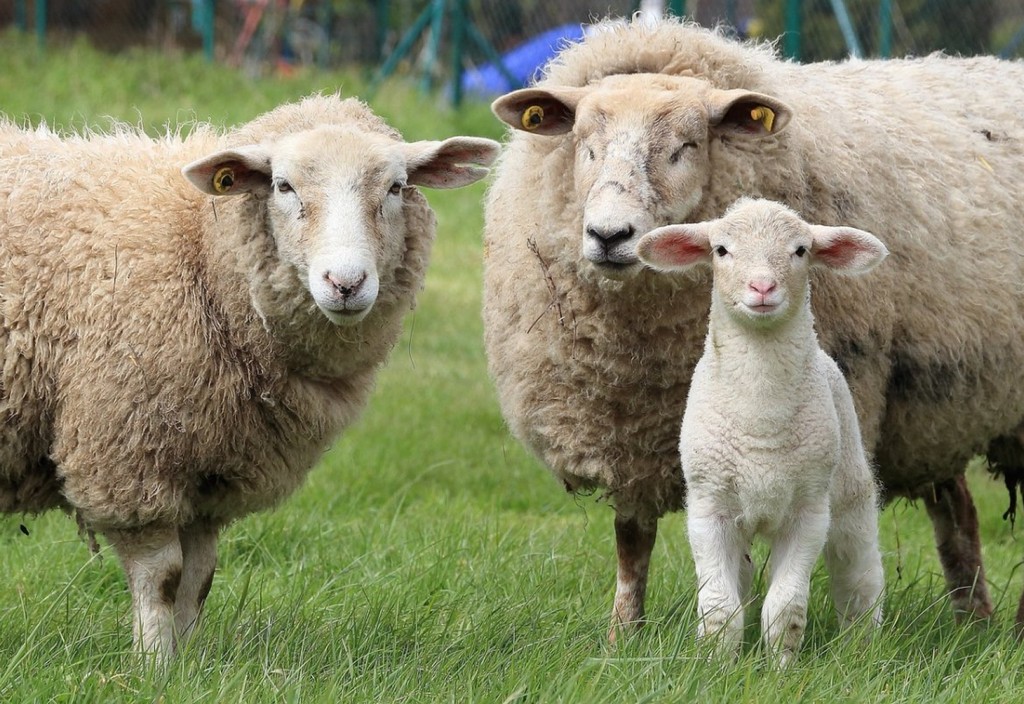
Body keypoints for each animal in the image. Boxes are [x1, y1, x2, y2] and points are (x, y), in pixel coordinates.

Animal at [0, 94, 500, 659]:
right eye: (283, 186)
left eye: (395, 187)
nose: (346, 283)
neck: (198, 246)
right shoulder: (127, 456)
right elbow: (161, 577)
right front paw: (154, 663)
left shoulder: (210, 475)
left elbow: (198, 579)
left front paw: (189, 663)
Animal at [636, 198, 886, 665]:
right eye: (720, 250)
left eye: (801, 250)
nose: (763, 287)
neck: (760, 420)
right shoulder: (709, 508)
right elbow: (720, 608)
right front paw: (718, 664)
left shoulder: (809, 512)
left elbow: (786, 608)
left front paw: (781, 668)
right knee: (743, 577)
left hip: (849, 491)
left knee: (859, 574)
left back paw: (862, 648)